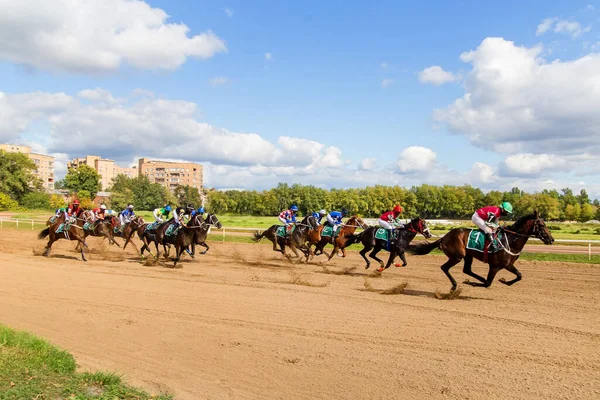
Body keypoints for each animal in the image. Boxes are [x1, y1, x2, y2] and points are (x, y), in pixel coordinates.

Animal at [410, 211, 556, 292]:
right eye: (541, 225)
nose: (551, 239)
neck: (511, 240)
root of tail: (444, 237)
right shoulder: (495, 266)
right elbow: (488, 283)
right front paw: (472, 283)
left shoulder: (508, 265)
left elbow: (519, 275)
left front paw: (505, 281)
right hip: (458, 255)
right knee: (444, 267)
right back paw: (455, 286)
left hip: (468, 256)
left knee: (467, 270)